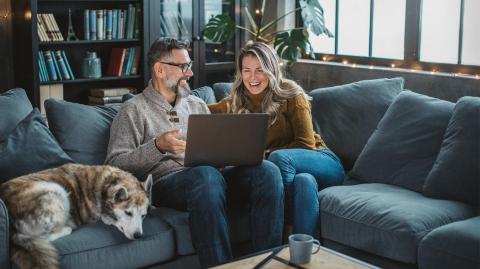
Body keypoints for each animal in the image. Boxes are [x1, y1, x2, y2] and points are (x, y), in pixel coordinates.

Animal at [0, 162, 152, 268]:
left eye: (143, 216)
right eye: (128, 213)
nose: (138, 236)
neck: (105, 185)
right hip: (56, 190)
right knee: (41, 236)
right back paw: (67, 228)